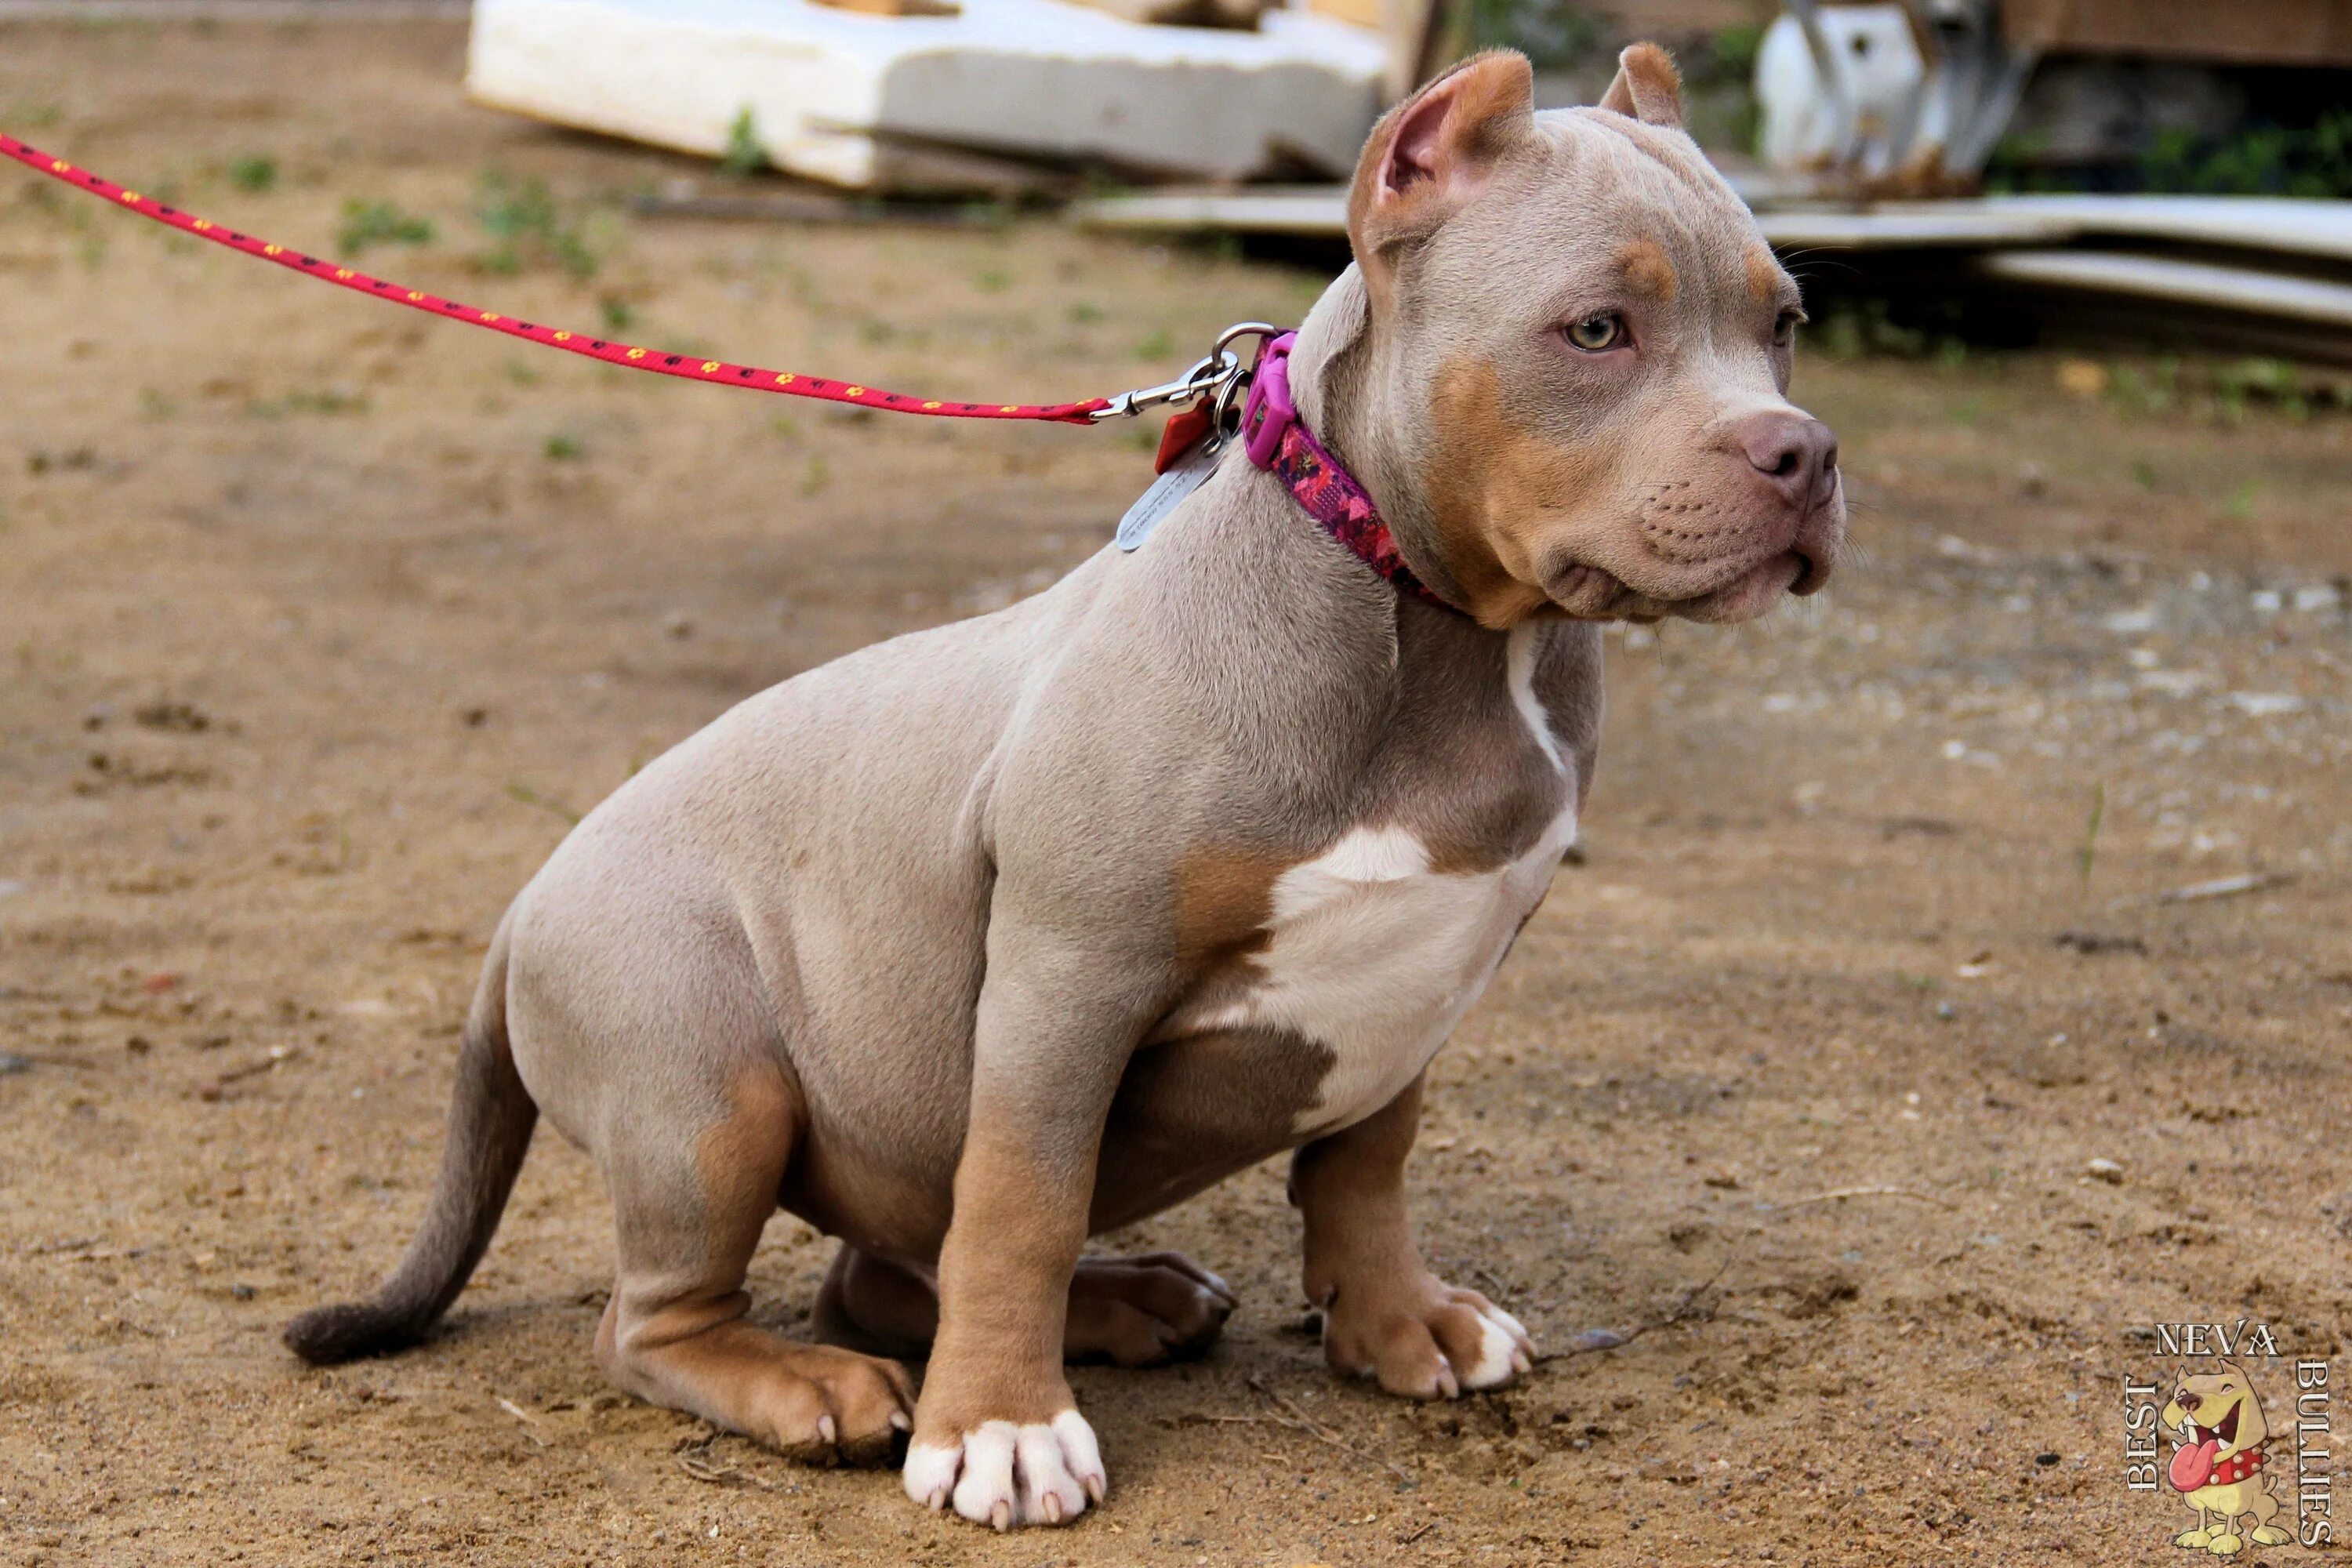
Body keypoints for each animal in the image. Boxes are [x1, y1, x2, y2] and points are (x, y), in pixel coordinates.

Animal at [285, 45, 1844, 1533]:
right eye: (1596, 330)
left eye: (1783, 323)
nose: (1809, 453)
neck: (1445, 629)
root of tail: (517, 917)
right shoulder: (1068, 974)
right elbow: (1023, 1202)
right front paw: (1000, 1429)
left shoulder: (1423, 976)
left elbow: (1365, 1161)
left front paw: (1402, 1324)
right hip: (709, 1088)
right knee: (660, 1321)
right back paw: (819, 1388)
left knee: (883, 1269)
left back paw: (1123, 1299)